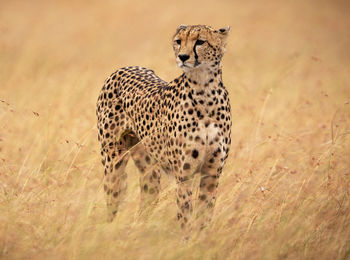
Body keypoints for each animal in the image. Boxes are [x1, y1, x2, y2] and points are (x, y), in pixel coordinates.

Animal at [97, 23, 231, 229]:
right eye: (178, 41)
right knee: (113, 200)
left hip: (149, 171)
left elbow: (204, 215)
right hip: (113, 163)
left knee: (145, 201)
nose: (182, 56)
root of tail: (124, 68)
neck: (205, 92)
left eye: (200, 41)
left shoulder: (212, 173)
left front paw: (201, 237)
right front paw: (187, 236)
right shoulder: (184, 175)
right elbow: (185, 215)